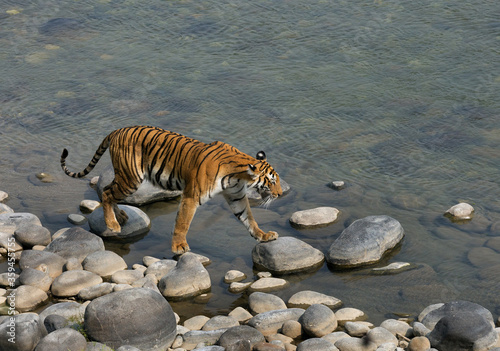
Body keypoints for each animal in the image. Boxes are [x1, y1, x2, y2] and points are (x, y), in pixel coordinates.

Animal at [59, 126, 282, 256]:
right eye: (271, 181)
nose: (280, 194)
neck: (238, 176)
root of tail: (116, 130)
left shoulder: (236, 196)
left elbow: (249, 219)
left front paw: (263, 236)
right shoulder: (191, 196)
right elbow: (183, 223)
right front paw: (179, 247)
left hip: (126, 178)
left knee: (107, 189)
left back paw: (120, 216)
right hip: (131, 178)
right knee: (106, 193)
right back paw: (113, 224)